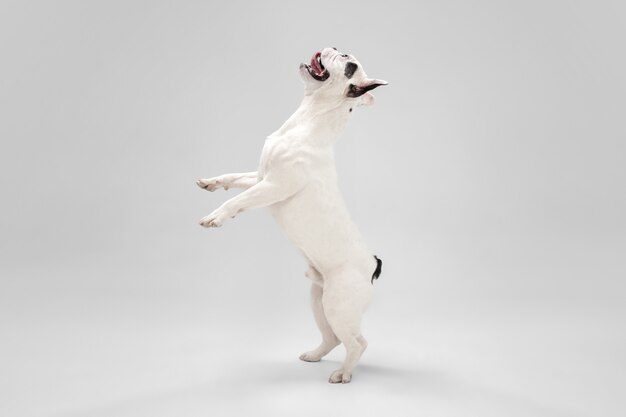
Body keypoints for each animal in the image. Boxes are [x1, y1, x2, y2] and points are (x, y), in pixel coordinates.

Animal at [197, 47, 388, 382]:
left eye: (349, 64)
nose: (335, 47)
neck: (307, 119)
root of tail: (372, 266)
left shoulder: (274, 186)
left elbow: (238, 200)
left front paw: (215, 217)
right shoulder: (260, 177)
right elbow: (234, 179)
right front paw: (212, 182)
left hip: (338, 305)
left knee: (357, 342)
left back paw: (343, 374)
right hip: (318, 300)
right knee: (333, 337)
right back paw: (314, 355)